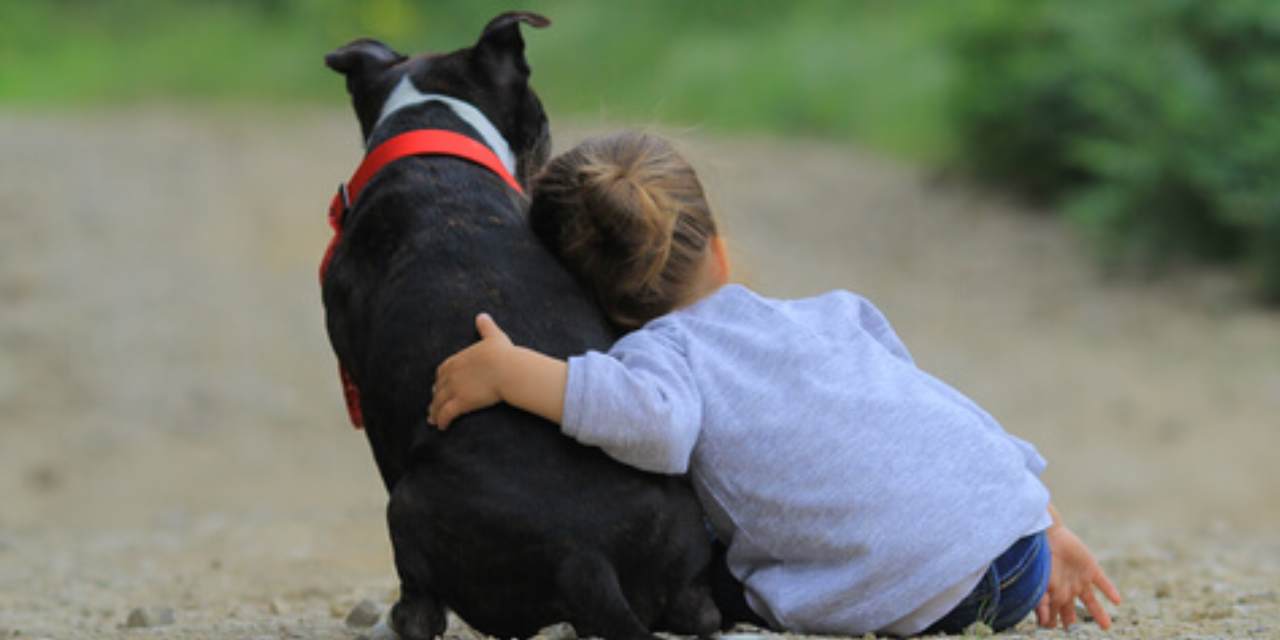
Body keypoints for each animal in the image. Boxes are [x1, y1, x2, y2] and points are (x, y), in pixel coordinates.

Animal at [320, 11, 721, 640]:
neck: (431, 126)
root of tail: (585, 555)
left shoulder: (370, 402)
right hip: (680, 539)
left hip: (406, 505)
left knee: (423, 602)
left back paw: (399, 620)